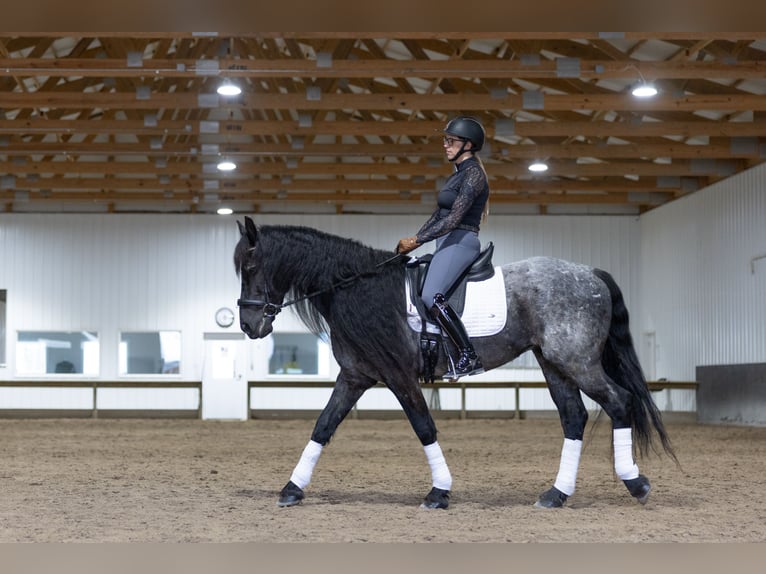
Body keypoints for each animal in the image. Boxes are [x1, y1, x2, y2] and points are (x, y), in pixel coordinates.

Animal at [234, 216, 676, 509]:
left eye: (251, 267)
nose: (249, 325)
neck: (356, 288)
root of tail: (591, 273)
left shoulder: (397, 376)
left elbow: (424, 427)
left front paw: (439, 491)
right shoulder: (355, 375)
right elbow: (323, 427)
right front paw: (292, 488)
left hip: (577, 361)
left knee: (619, 402)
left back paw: (635, 483)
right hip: (554, 364)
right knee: (574, 417)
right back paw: (556, 494)